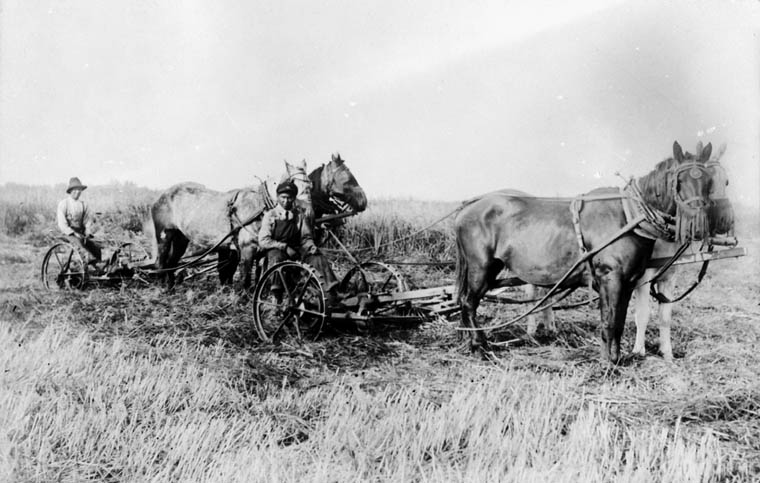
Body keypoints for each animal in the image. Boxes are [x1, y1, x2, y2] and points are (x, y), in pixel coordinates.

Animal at [151, 157, 366, 290]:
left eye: (310, 185)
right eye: (347, 179)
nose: (363, 201)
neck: (262, 206)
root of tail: (161, 196)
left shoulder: (265, 249)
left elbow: (263, 272)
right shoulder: (247, 249)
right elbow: (246, 275)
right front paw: (244, 296)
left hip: (181, 238)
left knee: (172, 261)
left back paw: (171, 284)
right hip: (164, 235)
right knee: (161, 261)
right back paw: (163, 286)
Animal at [458, 141, 720, 364]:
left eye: (710, 181)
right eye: (679, 180)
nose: (699, 226)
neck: (629, 216)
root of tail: (469, 206)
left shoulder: (628, 282)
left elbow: (619, 321)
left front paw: (616, 357)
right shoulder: (609, 278)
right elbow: (609, 321)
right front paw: (608, 363)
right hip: (481, 267)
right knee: (469, 302)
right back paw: (480, 346)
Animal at [628, 142, 736, 362]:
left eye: (726, 181)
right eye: (678, 182)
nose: (724, 220)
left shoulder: (669, 277)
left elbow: (665, 316)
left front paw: (667, 353)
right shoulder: (643, 278)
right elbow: (642, 314)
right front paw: (638, 352)